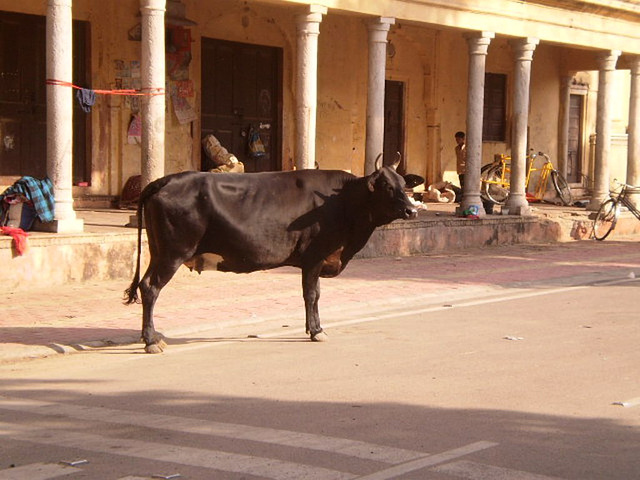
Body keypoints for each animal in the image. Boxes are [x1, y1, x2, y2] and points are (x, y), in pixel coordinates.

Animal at [125, 158, 418, 352]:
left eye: (404, 183)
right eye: (385, 185)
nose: (412, 211)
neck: (343, 202)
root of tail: (164, 180)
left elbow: (314, 294)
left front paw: (313, 328)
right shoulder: (314, 256)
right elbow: (312, 295)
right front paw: (316, 331)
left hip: (158, 251)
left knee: (146, 286)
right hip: (172, 253)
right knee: (150, 288)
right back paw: (151, 340)